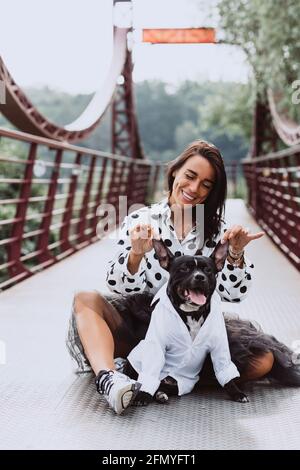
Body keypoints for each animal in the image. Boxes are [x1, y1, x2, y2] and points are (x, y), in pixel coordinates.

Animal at [127, 239, 250, 404]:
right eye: (184, 269)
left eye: (208, 270)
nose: (200, 277)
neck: (192, 313)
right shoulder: (157, 345)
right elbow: (150, 371)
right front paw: (143, 395)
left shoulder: (219, 347)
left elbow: (225, 371)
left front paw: (236, 392)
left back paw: (161, 393)